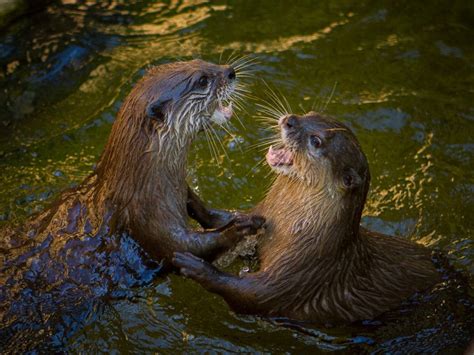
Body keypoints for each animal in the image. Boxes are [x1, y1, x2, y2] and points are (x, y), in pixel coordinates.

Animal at [0, 59, 262, 350]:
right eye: (202, 80)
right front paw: (239, 228)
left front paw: (236, 218)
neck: (140, 188)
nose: (230, 72)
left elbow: (200, 209)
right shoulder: (148, 223)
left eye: (203, 61)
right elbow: (186, 248)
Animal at [173, 111, 440, 326]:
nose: (290, 120)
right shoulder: (264, 216)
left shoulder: (302, 270)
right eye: (309, 113)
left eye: (316, 141)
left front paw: (195, 266)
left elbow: (253, 294)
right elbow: (225, 219)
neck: (294, 226)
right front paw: (189, 197)